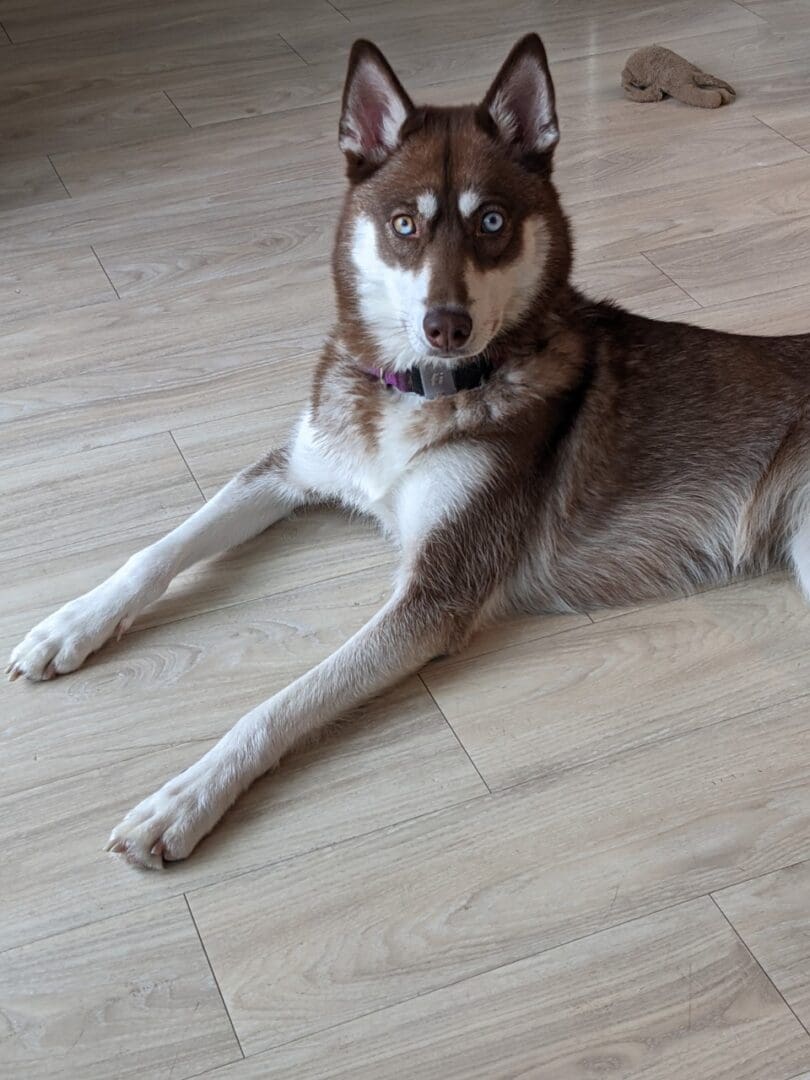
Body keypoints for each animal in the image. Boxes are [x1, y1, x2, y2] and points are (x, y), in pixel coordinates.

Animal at [7, 31, 810, 868]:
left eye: (491, 222)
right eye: (402, 225)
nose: (445, 325)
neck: (419, 389)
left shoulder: (434, 595)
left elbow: (283, 699)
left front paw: (186, 796)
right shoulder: (293, 469)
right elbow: (159, 551)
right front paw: (71, 624)